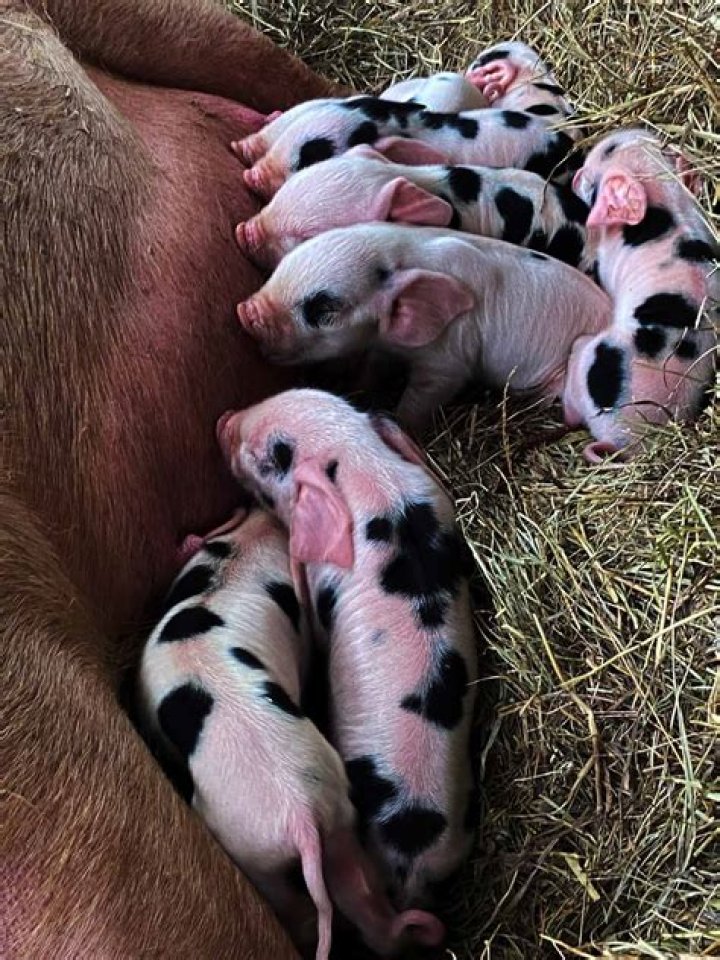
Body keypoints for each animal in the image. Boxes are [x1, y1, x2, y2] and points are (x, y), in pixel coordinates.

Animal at [138, 506, 444, 959]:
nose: (258, 509)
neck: (233, 565)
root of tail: (301, 817)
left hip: (252, 852)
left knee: (298, 911)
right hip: (338, 817)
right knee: (359, 894)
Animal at [236, 224, 612, 432]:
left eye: (323, 308)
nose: (244, 311)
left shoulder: (449, 357)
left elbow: (424, 395)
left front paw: (399, 423)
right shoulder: (385, 346)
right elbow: (372, 370)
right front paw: (357, 389)